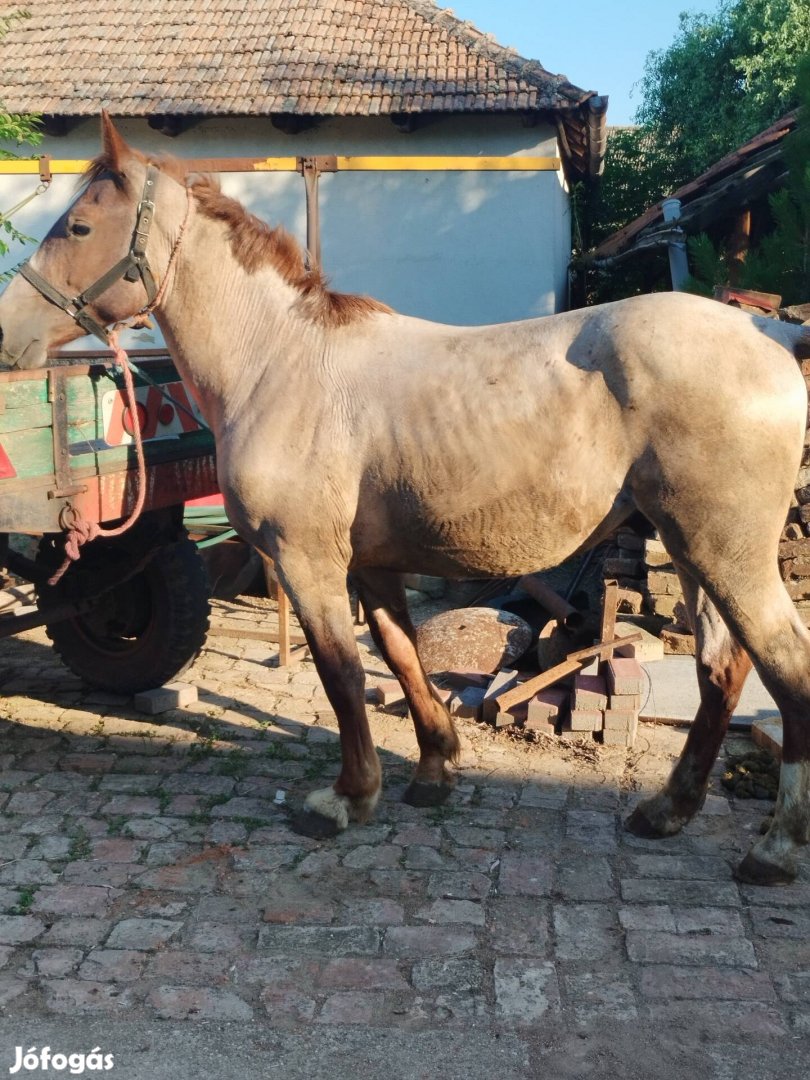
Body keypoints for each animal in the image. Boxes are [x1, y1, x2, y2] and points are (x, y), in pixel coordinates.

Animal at [1, 113, 810, 885]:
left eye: (78, 226)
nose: (9, 335)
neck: (280, 362)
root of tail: (766, 329)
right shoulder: (370, 563)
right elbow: (400, 654)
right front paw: (433, 769)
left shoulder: (307, 562)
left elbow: (341, 671)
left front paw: (349, 797)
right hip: (692, 551)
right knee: (721, 668)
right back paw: (669, 810)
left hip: (726, 554)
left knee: (786, 668)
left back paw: (775, 849)